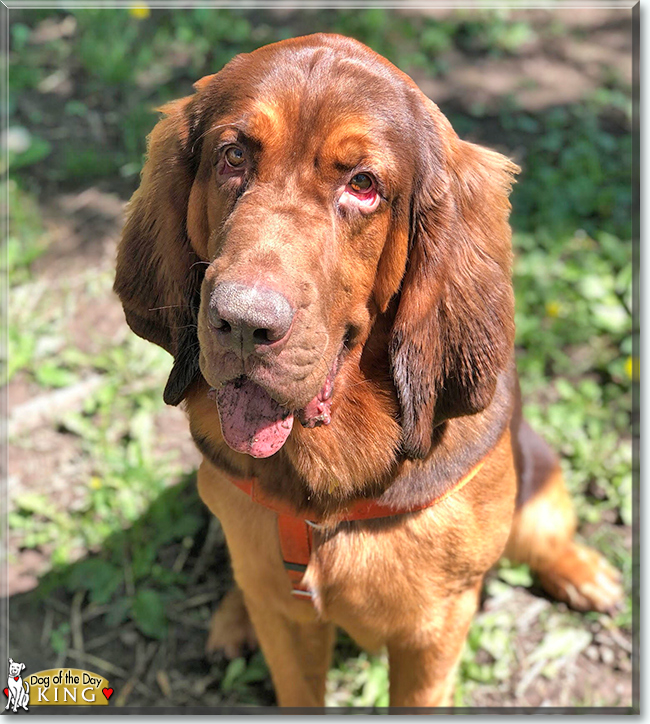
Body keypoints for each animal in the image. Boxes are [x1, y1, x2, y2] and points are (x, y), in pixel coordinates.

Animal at [114, 35, 620, 708]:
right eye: (232, 156)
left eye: (363, 185)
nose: (242, 322)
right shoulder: (289, 620)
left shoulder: (433, 633)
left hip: (539, 486)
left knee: (546, 536)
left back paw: (584, 573)